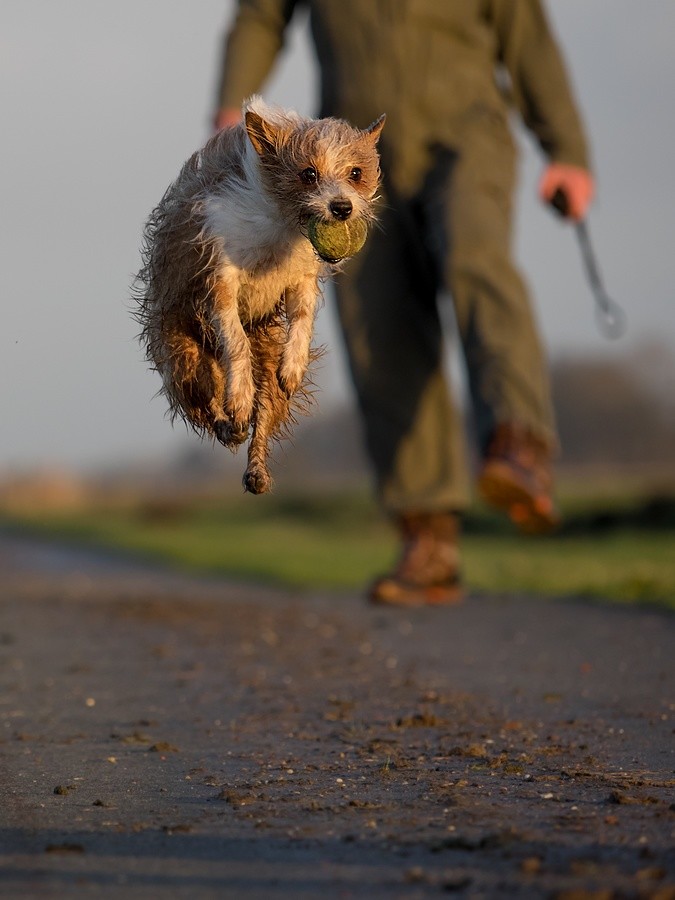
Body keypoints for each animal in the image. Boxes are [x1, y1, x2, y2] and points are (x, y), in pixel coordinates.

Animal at [136, 96, 386, 492]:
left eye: (356, 173)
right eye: (308, 174)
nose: (341, 207)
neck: (282, 223)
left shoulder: (300, 278)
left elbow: (302, 317)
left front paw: (294, 363)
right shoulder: (220, 276)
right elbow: (235, 338)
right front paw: (239, 396)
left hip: (266, 359)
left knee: (265, 413)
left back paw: (256, 469)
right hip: (185, 359)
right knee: (210, 404)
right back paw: (230, 422)